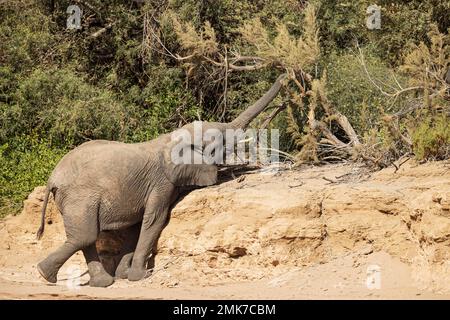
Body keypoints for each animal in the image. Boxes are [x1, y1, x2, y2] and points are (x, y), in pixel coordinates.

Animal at [36, 73, 284, 288]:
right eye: (218, 141)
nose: (285, 76)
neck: (171, 139)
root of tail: (52, 178)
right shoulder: (161, 182)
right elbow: (155, 219)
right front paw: (141, 276)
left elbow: (136, 227)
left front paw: (125, 275)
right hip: (80, 197)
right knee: (86, 236)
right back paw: (45, 274)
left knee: (86, 237)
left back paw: (101, 283)